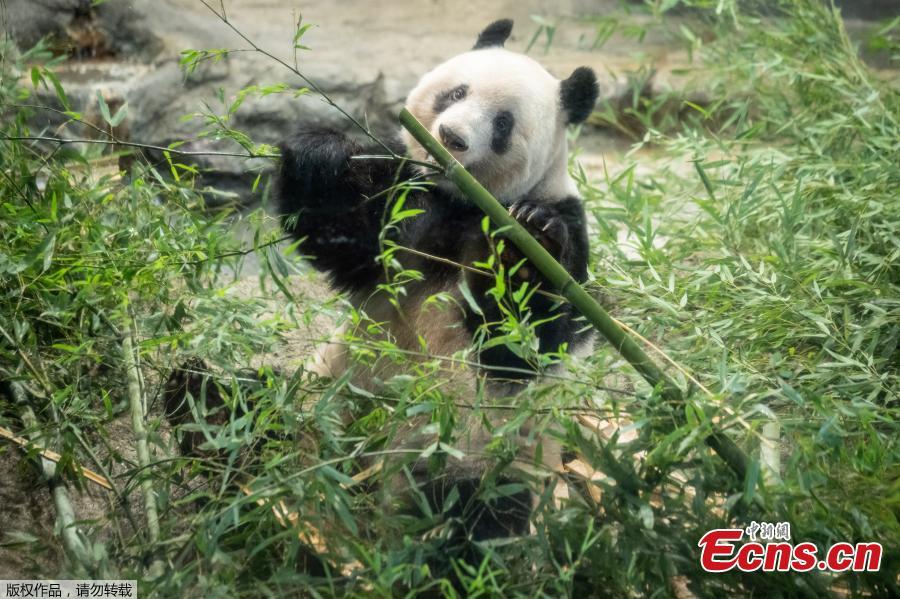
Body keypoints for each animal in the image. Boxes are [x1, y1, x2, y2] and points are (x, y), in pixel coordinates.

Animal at [274, 18, 596, 540]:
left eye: (503, 124)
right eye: (457, 92)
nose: (451, 135)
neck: (461, 199)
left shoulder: (566, 226)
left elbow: (522, 341)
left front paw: (528, 239)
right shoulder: (406, 201)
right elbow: (340, 232)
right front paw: (321, 153)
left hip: (475, 453)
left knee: (475, 510)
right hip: (320, 397)